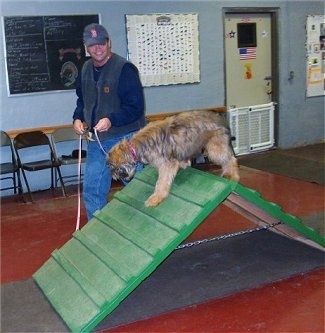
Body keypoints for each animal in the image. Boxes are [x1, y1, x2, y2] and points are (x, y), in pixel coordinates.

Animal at [106, 110, 238, 206]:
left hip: (215, 148)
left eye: (113, 167)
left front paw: (156, 197)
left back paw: (233, 175)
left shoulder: (167, 164)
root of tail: (220, 117)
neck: (136, 147)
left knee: (231, 159)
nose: (114, 176)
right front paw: (184, 165)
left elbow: (162, 181)